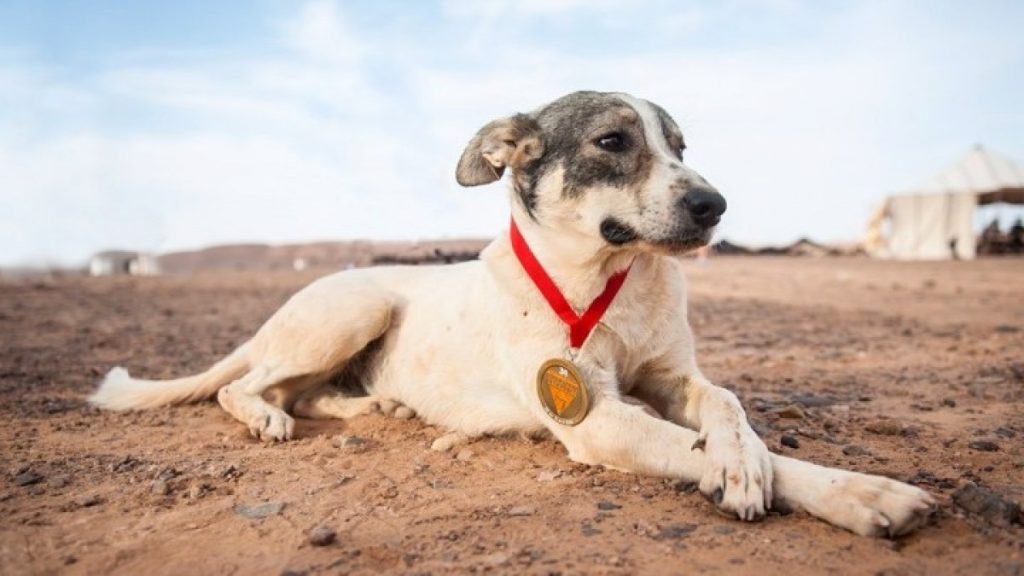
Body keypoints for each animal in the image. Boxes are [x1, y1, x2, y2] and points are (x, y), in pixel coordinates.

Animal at [94, 88, 937, 532]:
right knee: (247, 387)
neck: (606, 279)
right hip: (356, 308)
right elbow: (711, 449)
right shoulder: (594, 418)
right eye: (612, 140)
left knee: (306, 391)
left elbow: (726, 403)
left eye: (681, 146)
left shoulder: (673, 377)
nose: (714, 205)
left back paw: (376, 407)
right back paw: (270, 416)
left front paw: (743, 456)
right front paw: (862, 492)